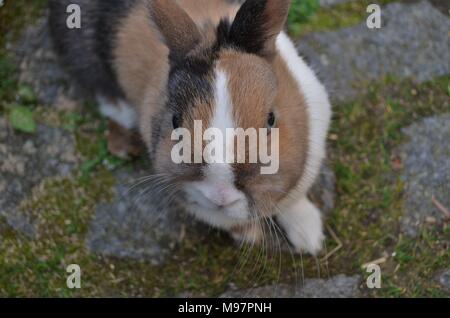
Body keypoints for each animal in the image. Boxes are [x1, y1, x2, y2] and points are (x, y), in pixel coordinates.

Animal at [49, 0, 330, 255]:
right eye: (175, 122)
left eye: (271, 119)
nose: (220, 196)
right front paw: (251, 236)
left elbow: (293, 203)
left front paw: (310, 237)